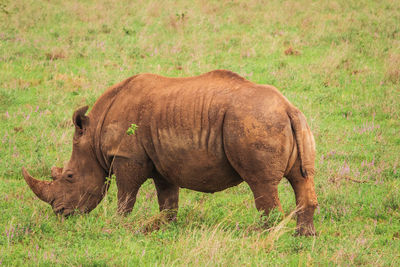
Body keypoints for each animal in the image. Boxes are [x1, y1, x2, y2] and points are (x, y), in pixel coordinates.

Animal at [24, 69, 318, 237]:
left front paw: (118, 225)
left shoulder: (127, 155)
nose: (60, 212)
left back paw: (261, 237)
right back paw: (303, 237)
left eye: (69, 176)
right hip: (290, 123)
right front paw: (162, 228)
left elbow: (125, 196)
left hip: (256, 120)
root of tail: (287, 107)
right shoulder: (162, 160)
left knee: (260, 183)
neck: (94, 136)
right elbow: (167, 199)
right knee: (301, 179)